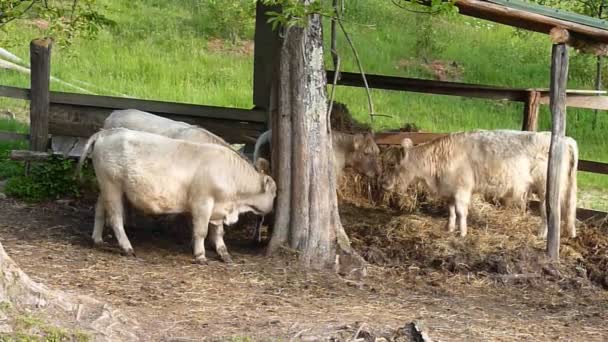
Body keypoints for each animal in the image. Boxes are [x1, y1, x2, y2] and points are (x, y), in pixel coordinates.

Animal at [76, 128, 276, 264]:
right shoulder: (202, 203)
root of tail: (106, 133)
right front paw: (200, 255)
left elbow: (218, 232)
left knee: (100, 210)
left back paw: (98, 239)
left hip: (106, 187)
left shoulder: (219, 207)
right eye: (274, 193)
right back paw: (127, 247)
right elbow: (201, 231)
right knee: (116, 218)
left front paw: (223, 253)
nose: (272, 209)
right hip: (113, 187)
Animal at [382, 130, 576, 239]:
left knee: (548, 211)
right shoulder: (450, 190)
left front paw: (462, 233)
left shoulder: (462, 189)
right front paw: (449, 228)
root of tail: (564, 139)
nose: (383, 183)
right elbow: (451, 211)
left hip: (546, 188)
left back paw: (542, 235)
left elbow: (461, 212)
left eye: (392, 165)